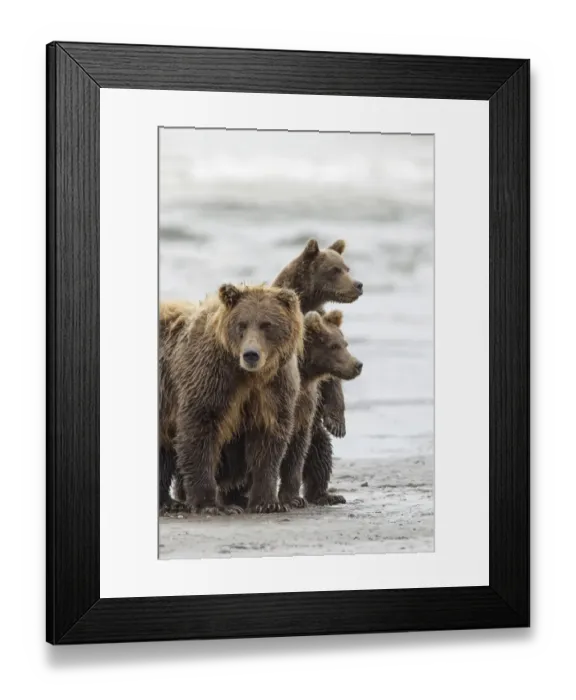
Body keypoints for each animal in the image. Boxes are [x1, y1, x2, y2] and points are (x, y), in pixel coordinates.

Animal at [158, 283, 303, 515]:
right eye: (242, 324)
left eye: (266, 324)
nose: (251, 354)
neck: (248, 375)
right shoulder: (210, 379)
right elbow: (199, 432)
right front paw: (210, 504)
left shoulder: (272, 391)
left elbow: (268, 443)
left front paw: (267, 502)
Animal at [218, 309, 363, 509]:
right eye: (333, 346)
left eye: (344, 343)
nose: (357, 365)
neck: (306, 374)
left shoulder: (304, 405)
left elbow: (298, 450)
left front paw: (294, 498)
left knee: (321, 453)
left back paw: (326, 495)